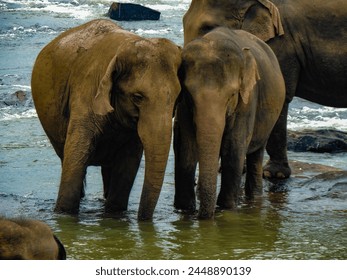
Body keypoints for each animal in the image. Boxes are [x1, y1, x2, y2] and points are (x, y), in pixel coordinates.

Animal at [31, 19, 182, 221]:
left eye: (177, 97)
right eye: (137, 97)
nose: (143, 220)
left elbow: (128, 164)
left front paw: (114, 215)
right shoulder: (85, 95)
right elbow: (77, 154)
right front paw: (64, 214)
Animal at [174, 26, 286, 219]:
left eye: (232, 95)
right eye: (188, 94)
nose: (202, 217)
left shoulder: (247, 100)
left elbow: (233, 147)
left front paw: (226, 207)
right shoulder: (183, 107)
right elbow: (187, 146)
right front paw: (185, 209)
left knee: (256, 153)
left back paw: (253, 196)